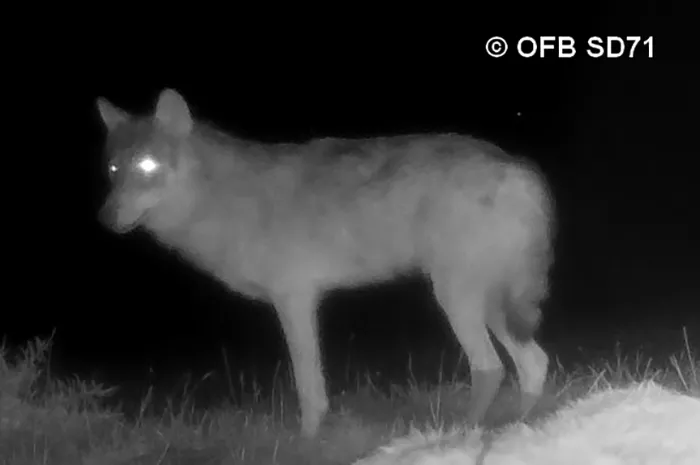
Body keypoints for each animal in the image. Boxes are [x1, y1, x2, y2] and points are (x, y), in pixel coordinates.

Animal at [96, 88, 555, 438]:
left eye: (148, 166)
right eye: (114, 169)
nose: (105, 218)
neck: (221, 201)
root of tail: (518, 168)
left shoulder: (294, 299)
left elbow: (308, 385)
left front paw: (307, 441)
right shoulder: (301, 300)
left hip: (455, 297)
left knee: (491, 367)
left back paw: (460, 435)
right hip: (491, 305)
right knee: (534, 364)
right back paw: (517, 427)